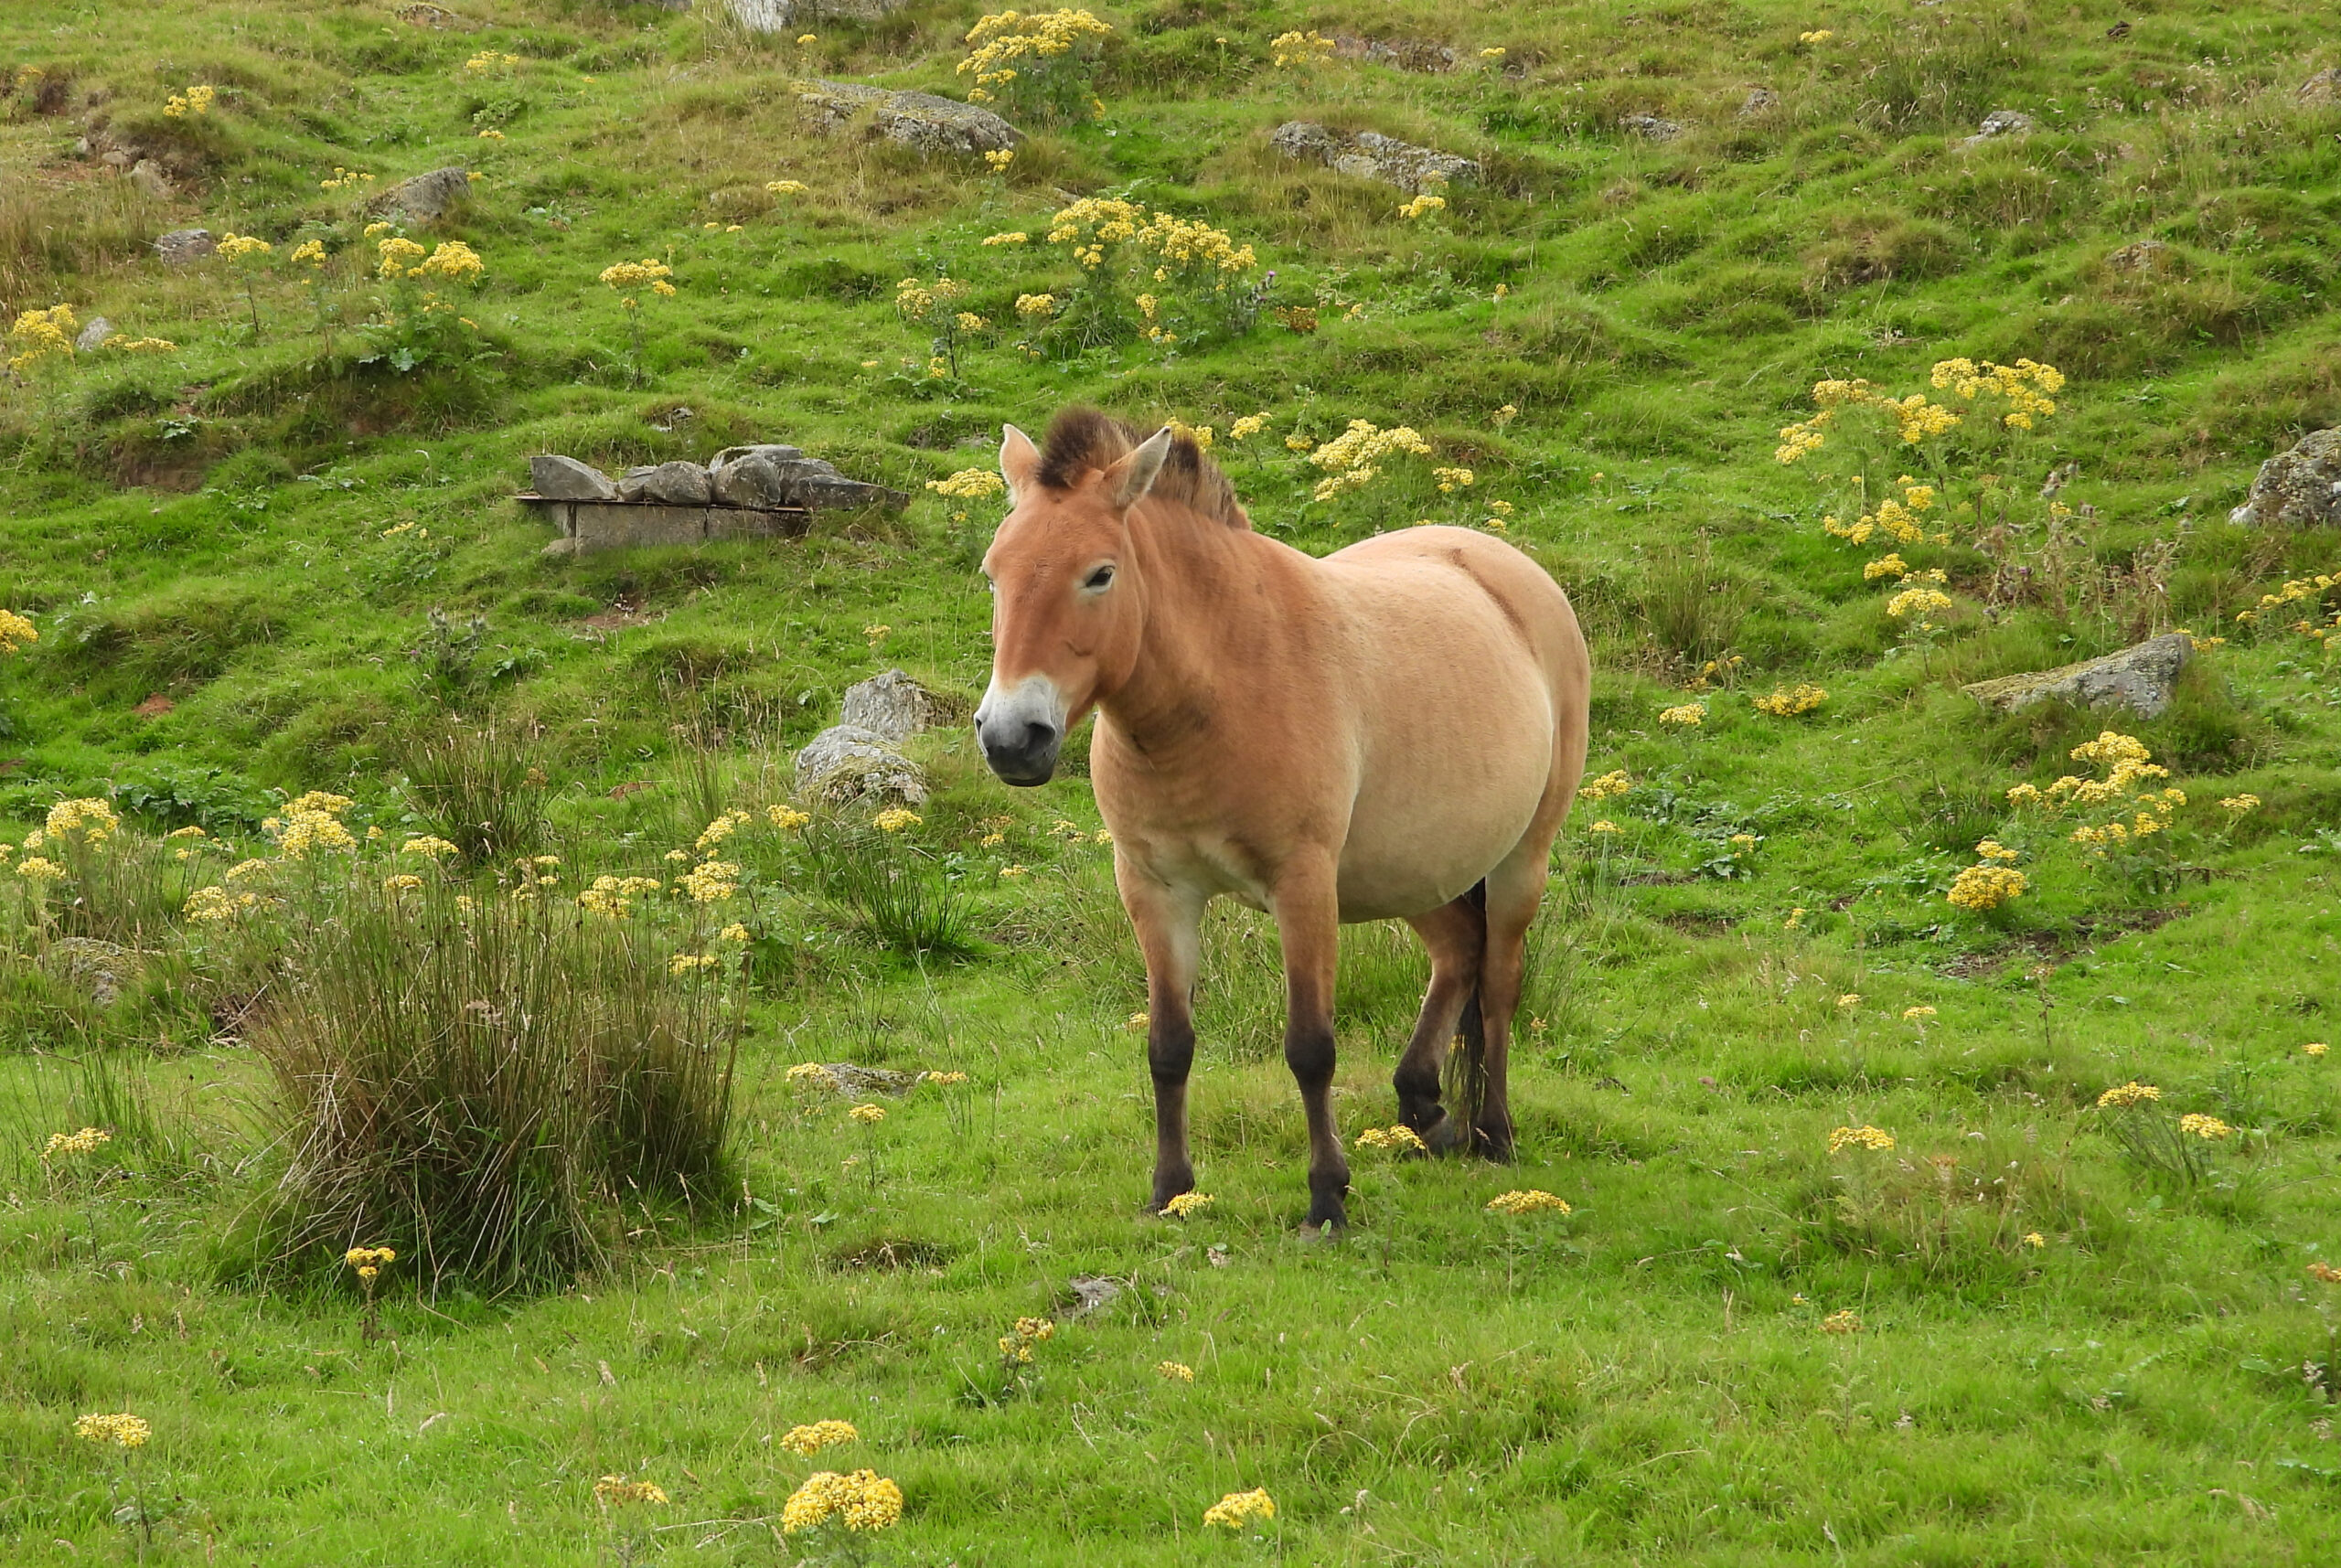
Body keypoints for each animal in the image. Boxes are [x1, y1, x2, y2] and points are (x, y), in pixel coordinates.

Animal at [968, 411, 1591, 1235]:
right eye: (994, 572)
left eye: (1099, 574)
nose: (1013, 738)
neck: (1223, 685)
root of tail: (1514, 574)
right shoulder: (1155, 890)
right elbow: (1169, 1046)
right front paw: (1170, 1189)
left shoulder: (1303, 886)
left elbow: (1310, 1048)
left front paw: (1327, 1196)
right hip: (1412, 871)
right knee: (1458, 954)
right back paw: (1425, 1107)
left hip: (1521, 859)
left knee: (1498, 983)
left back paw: (1495, 1132)